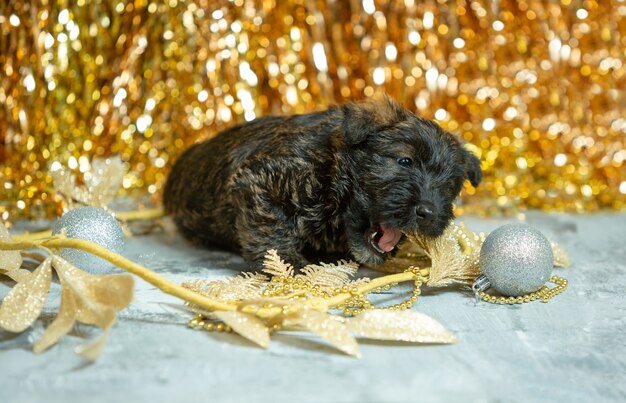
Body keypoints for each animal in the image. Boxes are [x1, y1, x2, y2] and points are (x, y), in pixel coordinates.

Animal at [163, 97, 480, 268]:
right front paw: (287, 266)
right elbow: (271, 230)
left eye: (450, 187)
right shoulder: (259, 181)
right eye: (405, 161)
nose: (428, 212)